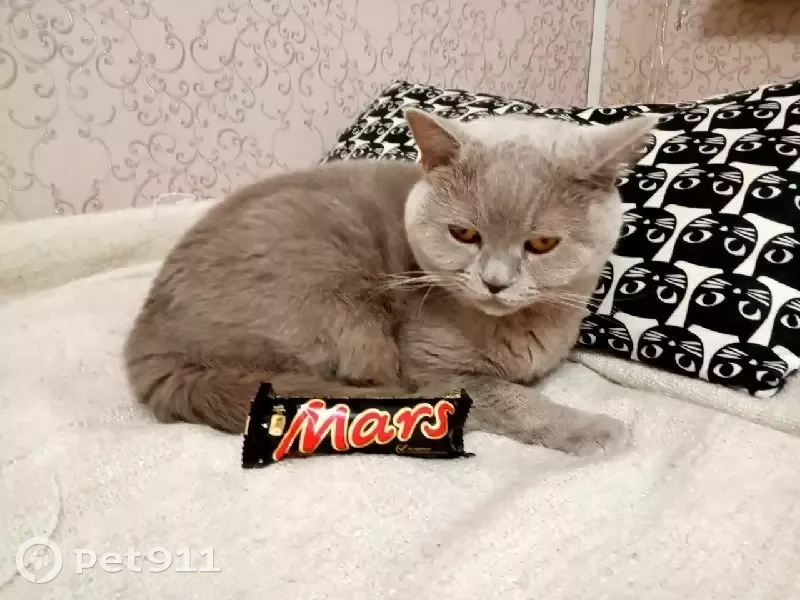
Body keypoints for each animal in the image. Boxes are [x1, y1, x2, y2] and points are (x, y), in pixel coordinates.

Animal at [123, 109, 657, 456]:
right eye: (464, 234)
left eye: (542, 244)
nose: (495, 282)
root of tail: (149, 351)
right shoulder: (437, 371)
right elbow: (517, 400)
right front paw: (595, 429)